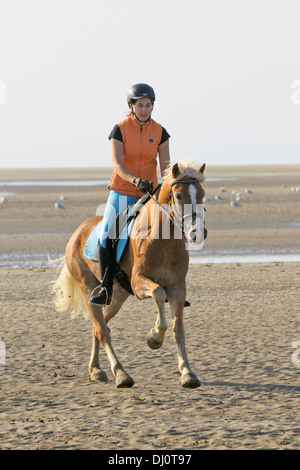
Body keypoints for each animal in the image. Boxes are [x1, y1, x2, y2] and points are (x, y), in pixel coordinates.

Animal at [51, 160, 206, 388]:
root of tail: (77, 233)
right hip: (89, 288)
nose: (197, 233)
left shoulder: (178, 288)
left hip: (117, 295)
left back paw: (96, 370)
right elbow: (158, 293)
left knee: (99, 326)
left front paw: (187, 373)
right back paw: (121, 374)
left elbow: (178, 328)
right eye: (178, 195)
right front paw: (154, 338)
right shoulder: (139, 283)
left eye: (202, 194)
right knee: (102, 330)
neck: (163, 240)